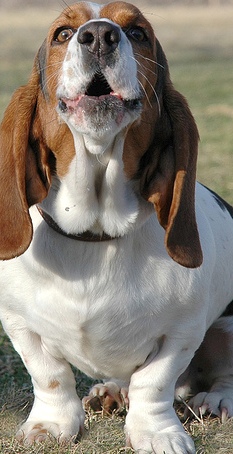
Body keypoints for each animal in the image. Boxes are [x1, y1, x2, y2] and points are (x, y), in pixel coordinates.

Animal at [0, 1, 233, 452]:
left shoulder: (182, 332)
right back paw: (110, 391)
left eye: (138, 32)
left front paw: (158, 434)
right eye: (63, 33)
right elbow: (50, 375)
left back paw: (216, 399)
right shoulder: (18, 324)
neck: (96, 234)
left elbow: (154, 383)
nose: (99, 36)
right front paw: (50, 425)